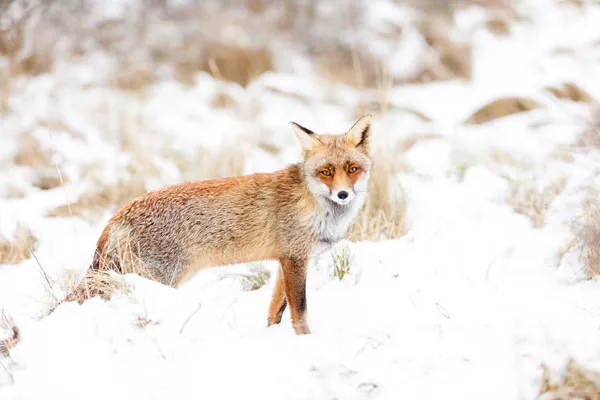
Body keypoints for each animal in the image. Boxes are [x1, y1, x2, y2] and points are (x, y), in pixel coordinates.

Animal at [84, 113, 370, 334]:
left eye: (353, 169)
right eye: (326, 172)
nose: (342, 194)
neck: (315, 203)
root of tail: (115, 217)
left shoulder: (286, 259)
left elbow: (275, 311)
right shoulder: (295, 258)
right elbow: (300, 312)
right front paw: (305, 340)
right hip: (157, 278)